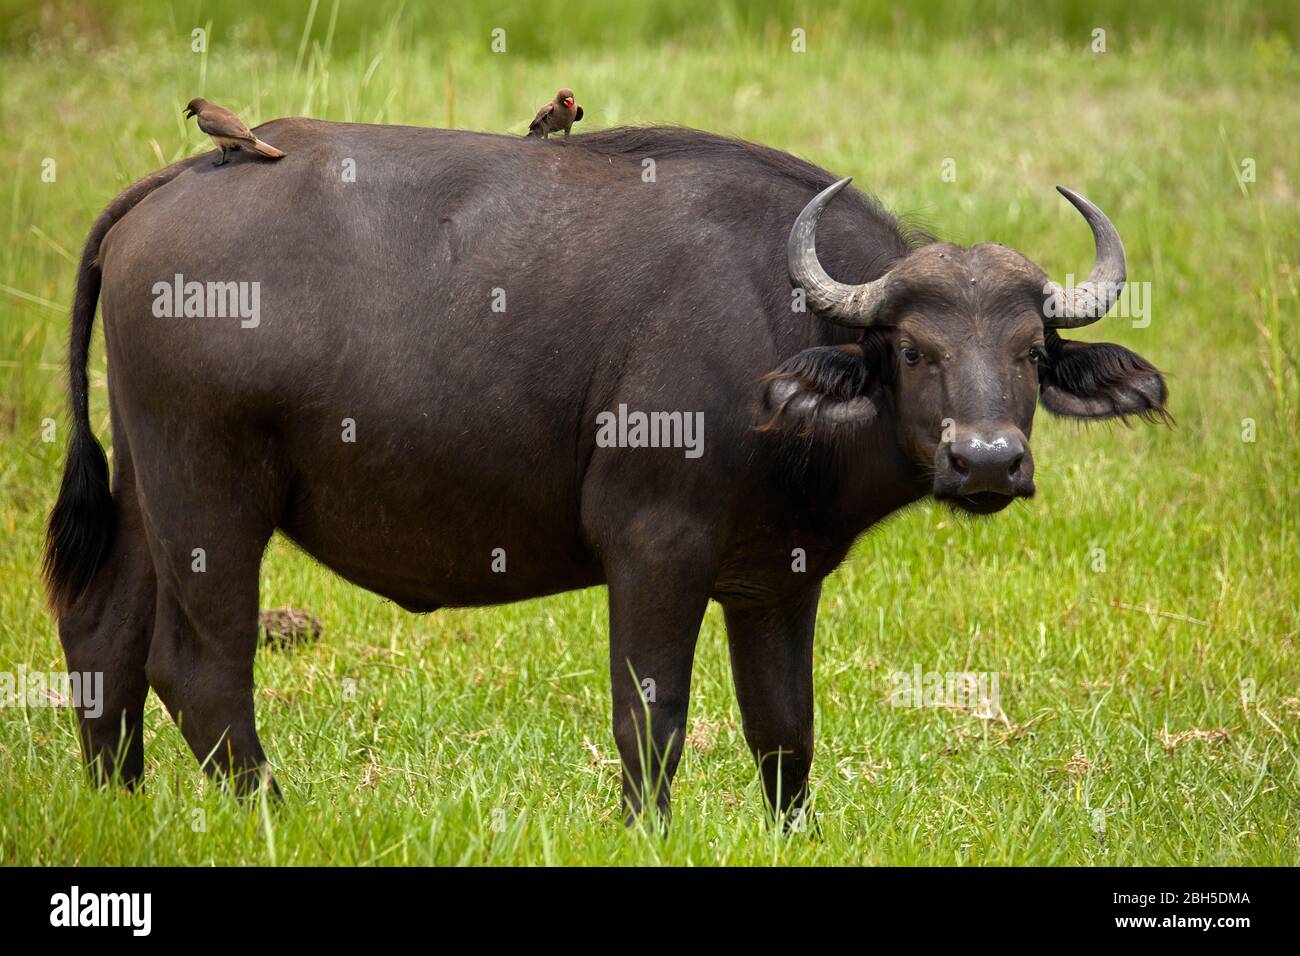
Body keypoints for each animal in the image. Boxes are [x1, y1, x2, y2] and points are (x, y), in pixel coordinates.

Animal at [48, 119, 1170, 822]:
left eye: (1029, 350)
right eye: (911, 348)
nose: (986, 460)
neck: (774, 331)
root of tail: (176, 184)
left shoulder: (777, 580)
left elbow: (784, 731)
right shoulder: (653, 548)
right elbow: (653, 717)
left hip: (149, 487)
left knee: (103, 636)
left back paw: (119, 806)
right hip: (211, 496)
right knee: (199, 671)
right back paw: (275, 813)